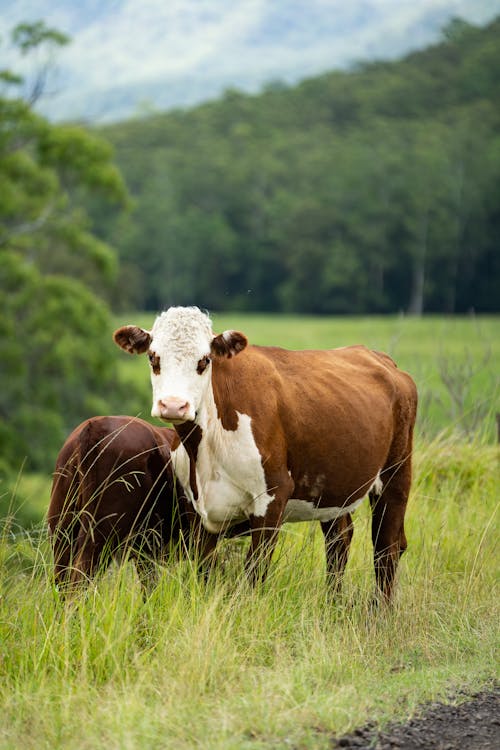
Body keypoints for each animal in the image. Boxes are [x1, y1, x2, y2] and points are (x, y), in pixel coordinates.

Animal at [114, 308, 418, 604]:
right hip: (335, 485)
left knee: (386, 548)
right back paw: (332, 604)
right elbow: (204, 571)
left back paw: (380, 612)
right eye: (153, 357)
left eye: (205, 360)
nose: (174, 405)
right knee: (339, 540)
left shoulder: (272, 496)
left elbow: (255, 570)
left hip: (396, 475)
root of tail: (380, 359)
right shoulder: (195, 506)